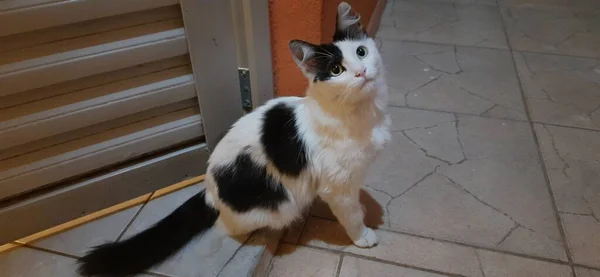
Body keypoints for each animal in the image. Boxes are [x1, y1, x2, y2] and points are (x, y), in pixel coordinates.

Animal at [77, 1, 392, 274]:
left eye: (361, 52)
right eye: (336, 70)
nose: (361, 72)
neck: (360, 114)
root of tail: (208, 191)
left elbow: (355, 202)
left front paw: (363, 209)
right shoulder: (336, 185)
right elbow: (349, 213)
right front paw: (362, 235)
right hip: (279, 206)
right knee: (228, 228)